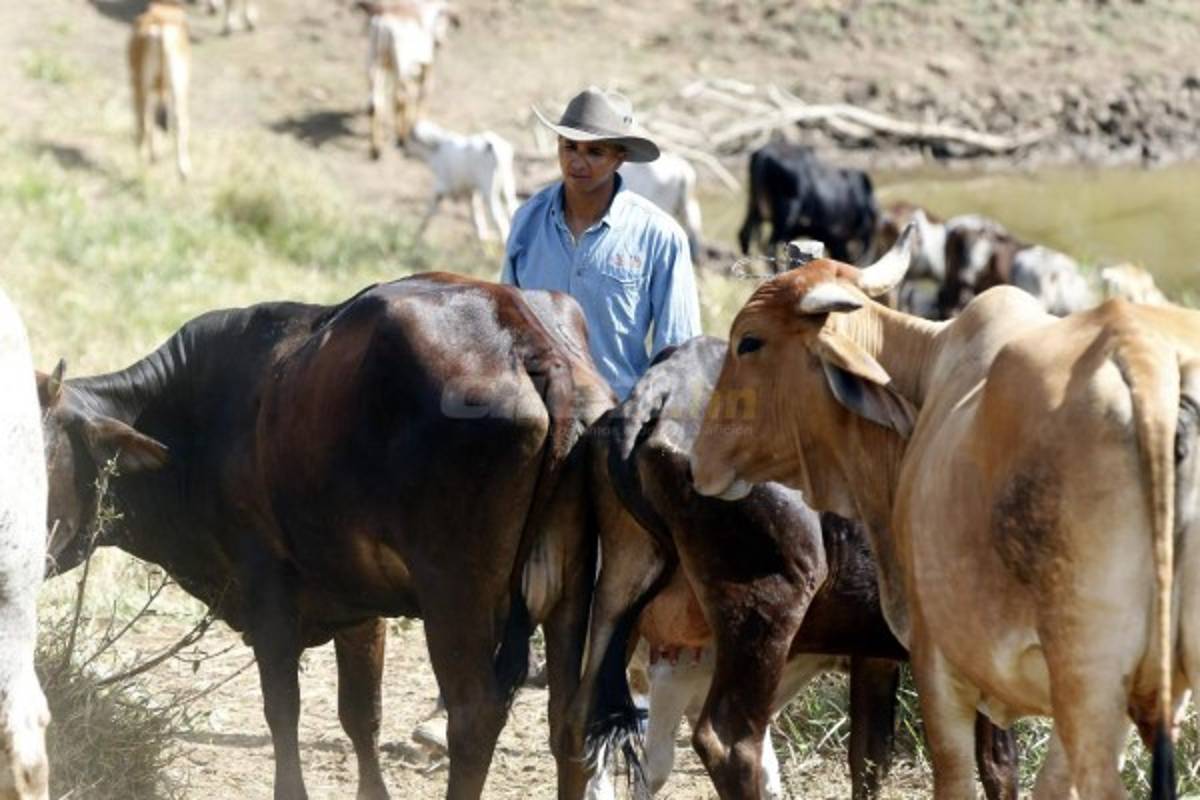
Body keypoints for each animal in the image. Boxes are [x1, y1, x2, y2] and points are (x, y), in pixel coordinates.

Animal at [38, 273, 615, 800]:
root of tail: (526, 339)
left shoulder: (266, 585)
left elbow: (282, 708)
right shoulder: (360, 605)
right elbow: (361, 715)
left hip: (455, 594)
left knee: (474, 717)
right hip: (572, 597)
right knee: (570, 720)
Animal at [128, 1, 191, 180]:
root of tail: (162, 27)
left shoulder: (136, 83)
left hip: (144, 85)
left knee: (146, 119)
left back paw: (144, 155)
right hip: (179, 86)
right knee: (180, 121)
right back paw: (183, 170)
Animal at [358, 1, 459, 159]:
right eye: (444, 20)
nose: (440, 42)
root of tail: (384, 20)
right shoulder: (426, 68)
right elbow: (423, 94)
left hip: (374, 62)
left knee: (376, 104)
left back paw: (377, 148)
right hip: (402, 66)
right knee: (401, 98)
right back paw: (402, 137)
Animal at [574, 337, 1017, 800]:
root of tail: (664, 384)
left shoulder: (875, 658)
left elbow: (870, 758)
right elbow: (998, 767)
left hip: (616, 605)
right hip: (767, 611)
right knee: (727, 743)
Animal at [737, 141, 878, 267]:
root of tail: (764, 153)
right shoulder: (837, 236)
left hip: (755, 205)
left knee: (745, 235)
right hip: (786, 212)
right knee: (770, 246)